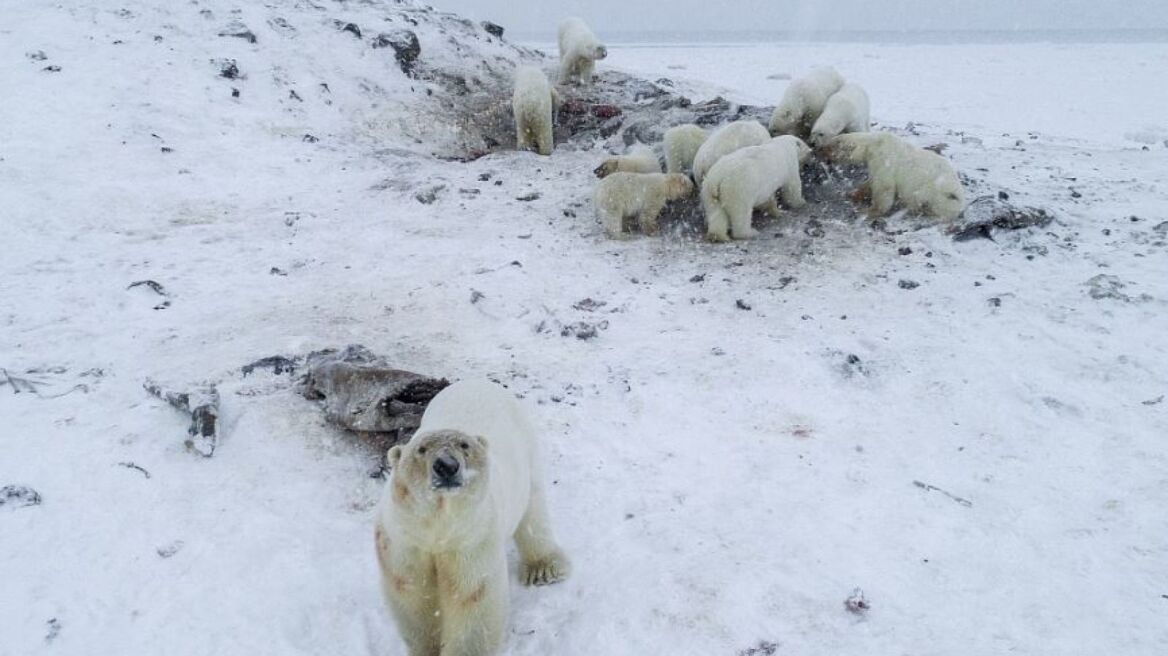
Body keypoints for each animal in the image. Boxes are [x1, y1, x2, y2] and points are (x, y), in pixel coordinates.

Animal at [373, 378, 569, 653]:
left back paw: (543, 569)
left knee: (534, 509)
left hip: (526, 452)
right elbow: (413, 596)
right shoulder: (404, 541)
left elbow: (472, 599)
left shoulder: (471, 540)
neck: (438, 526)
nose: (446, 465)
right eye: (421, 449)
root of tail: (478, 381)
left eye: (464, 446)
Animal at [817, 131, 962, 220]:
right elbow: (871, 182)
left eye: (828, 147)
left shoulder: (883, 158)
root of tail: (961, 200)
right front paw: (852, 193)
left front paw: (868, 211)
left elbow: (883, 187)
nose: (818, 149)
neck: (873, 144)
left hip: (936, 193)